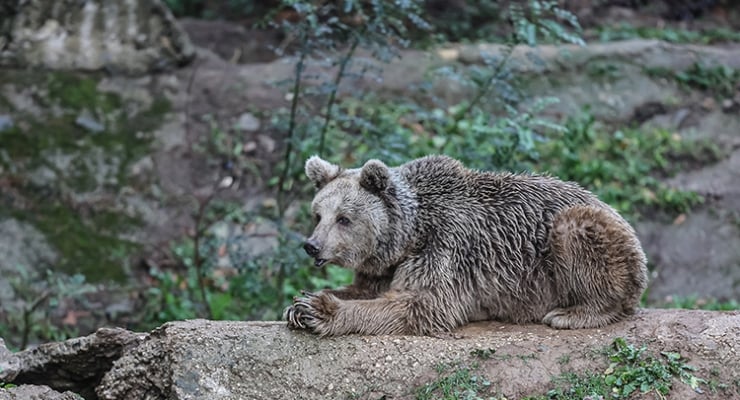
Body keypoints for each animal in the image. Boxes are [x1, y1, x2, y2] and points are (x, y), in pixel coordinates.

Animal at [284, 155, 648, 336]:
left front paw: (318, 310)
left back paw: (572, 313)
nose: (312, 246)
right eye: (318, 214)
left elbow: (422, 304)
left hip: (584, 234)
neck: (408, 234)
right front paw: (299, 304)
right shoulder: (386, 265)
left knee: (578, 232)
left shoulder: (446, 245)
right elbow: (366, 289)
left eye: (344, 218)